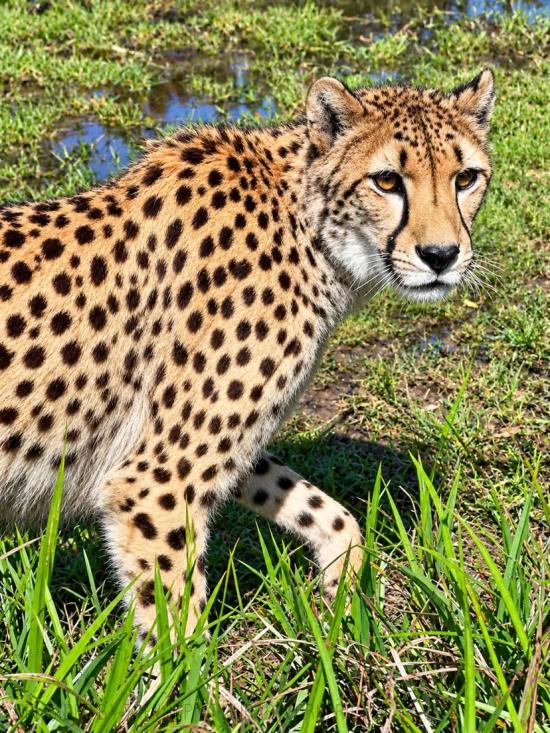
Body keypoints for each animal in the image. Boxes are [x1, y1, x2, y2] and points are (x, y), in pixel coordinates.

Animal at [0, 69, 495, 643]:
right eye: (388, 181)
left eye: (466, 178)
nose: (441, 256)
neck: (309, 230)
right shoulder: (155, 482)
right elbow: (179, 636)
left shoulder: (209, 450)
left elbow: (324, 511)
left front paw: (339, 596)